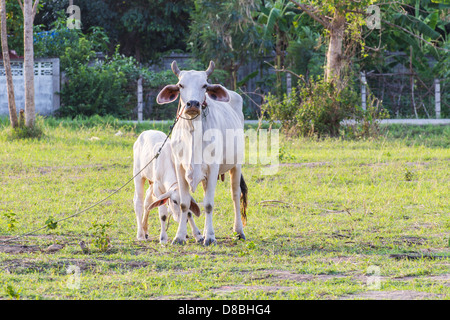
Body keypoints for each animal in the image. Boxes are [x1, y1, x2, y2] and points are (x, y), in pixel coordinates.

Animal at [156, 60, 248, 245]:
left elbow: (208, 204)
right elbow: (185, 204)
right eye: (180, 85)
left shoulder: (213, 168)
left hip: (236, 165)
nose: (192, 104)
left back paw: (238, 231)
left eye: (204, 85)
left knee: (235, 195)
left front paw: (210, 237)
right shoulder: (180, 168)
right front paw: (180, 236)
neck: (193, 132)